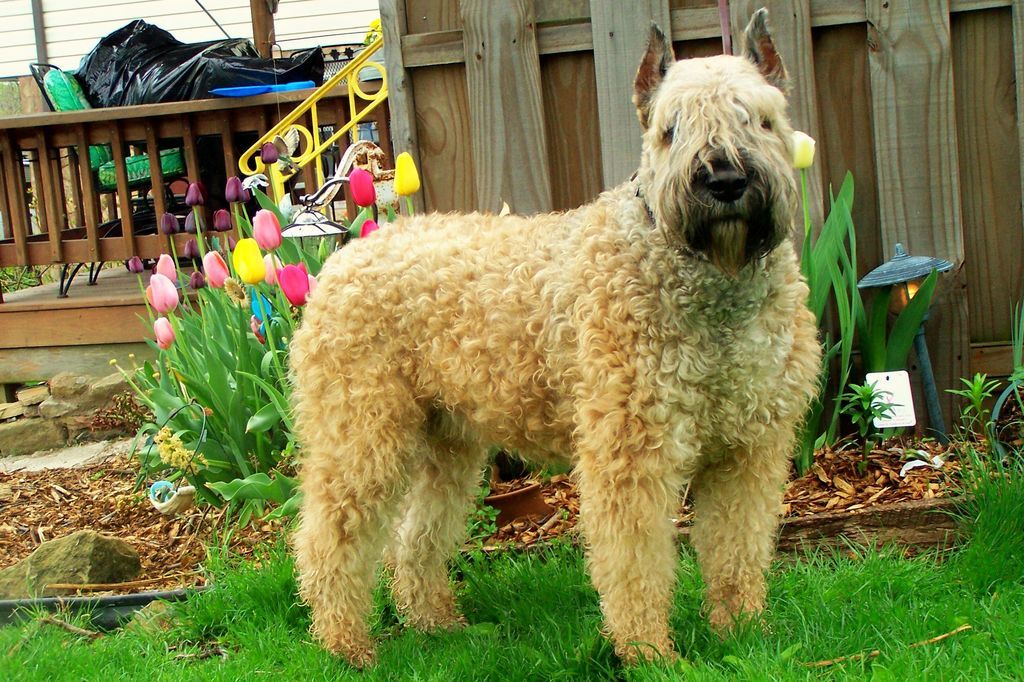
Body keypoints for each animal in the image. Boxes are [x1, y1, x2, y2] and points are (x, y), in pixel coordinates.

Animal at [292, 9, 819, 663]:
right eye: (670, 129)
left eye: (760, 118)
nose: (723, 179)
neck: (713, 287)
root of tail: (341, 260)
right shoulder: (631, 455)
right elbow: (635, 565)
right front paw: (649, 654)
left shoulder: (749, 452)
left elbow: (736, 552)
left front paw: (743, 633)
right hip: (362, 438)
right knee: (329, 540)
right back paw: (346, 645)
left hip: (446, 446)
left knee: (415, 539)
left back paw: (438, 626)